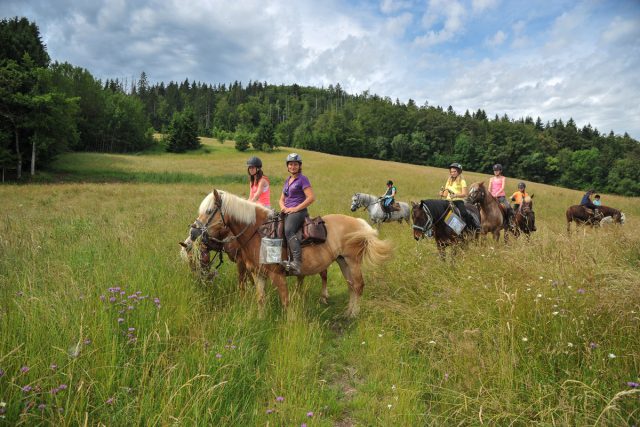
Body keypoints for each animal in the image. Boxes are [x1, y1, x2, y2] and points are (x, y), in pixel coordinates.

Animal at [178, 191, 392, 318]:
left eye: (209, 210)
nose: (193, 232)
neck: (258, 233)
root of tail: (360, 224)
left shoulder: (277, 275)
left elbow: (285, 301)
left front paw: (289, 324)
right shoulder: (258, 274)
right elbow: (260, 298)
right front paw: (260, 320)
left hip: (353, 261)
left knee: (358, 285)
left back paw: (353, 314)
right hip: (342, 261)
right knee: (351, 286)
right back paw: (347, 311)